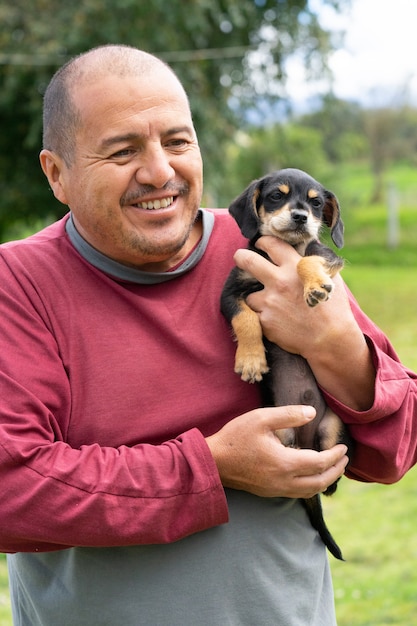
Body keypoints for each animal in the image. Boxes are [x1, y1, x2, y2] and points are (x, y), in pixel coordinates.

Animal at [221, 168, 352, 560]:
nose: (300, 217)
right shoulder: (230, 293)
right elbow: (245, 319)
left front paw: (314, 287)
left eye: (316, 203)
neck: (288, 248)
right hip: (280, 431)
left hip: (333, 429)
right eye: (276, 196)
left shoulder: (328, 258)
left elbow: (309, 259)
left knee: (329, 481)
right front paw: (250, 360)